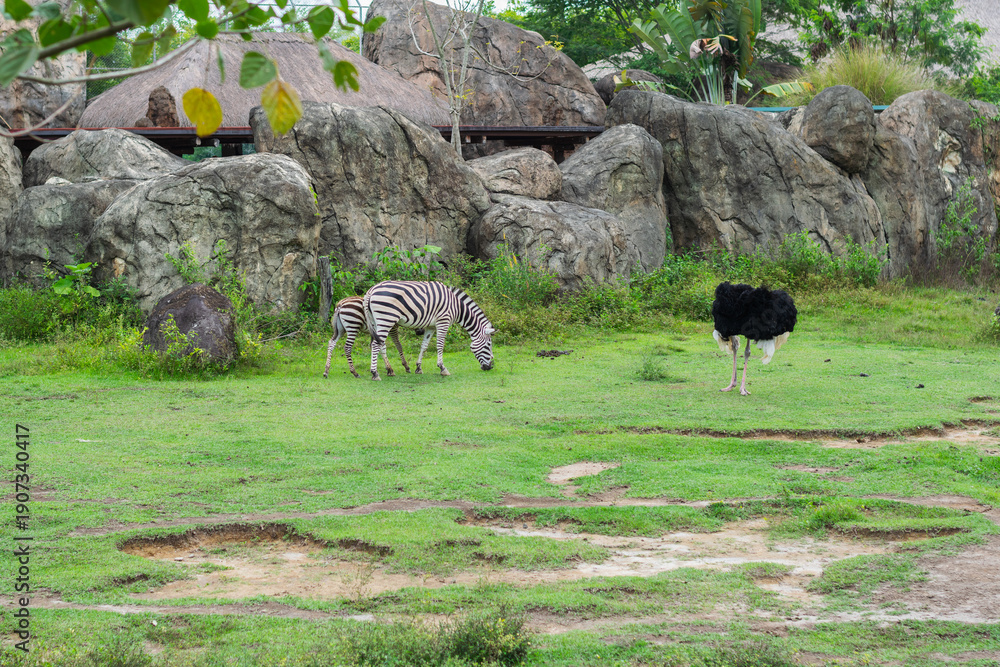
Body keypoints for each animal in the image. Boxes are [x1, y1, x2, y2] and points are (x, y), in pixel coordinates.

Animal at [363, 280, 495, 380]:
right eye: (488, 345)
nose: (490, 367)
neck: (456, 307)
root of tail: (371, 290)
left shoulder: (430, 326)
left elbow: (424, 346)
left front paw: (418, 368)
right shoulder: (443, 321)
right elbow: (440, 345)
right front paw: (442, 368)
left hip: (376, 321)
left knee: (379, 344)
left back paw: (389, 370)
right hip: (386, 319)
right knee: (376, 344)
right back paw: (375, 373)